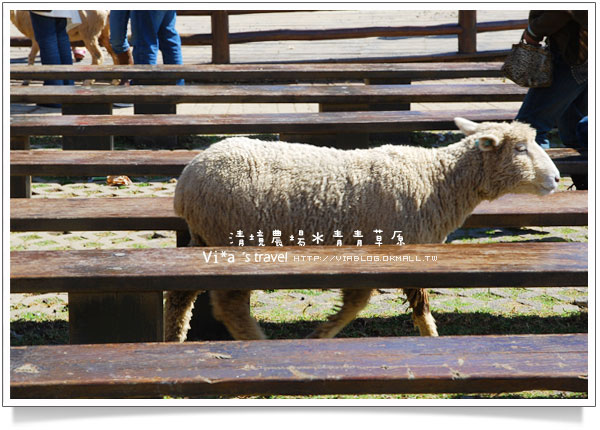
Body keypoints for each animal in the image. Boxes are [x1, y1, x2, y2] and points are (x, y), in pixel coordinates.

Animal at [166, 116, 560, 340]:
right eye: (521, 149)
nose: (556, 178)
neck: (437, 180)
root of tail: (187, 180)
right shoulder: (400, 247)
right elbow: (412, 308)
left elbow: (362, 303)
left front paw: (321, 333)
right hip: (232, 238)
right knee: (229, 305)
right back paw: (254, 341)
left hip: (203, 237)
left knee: (182, 297)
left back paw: (175, 338)